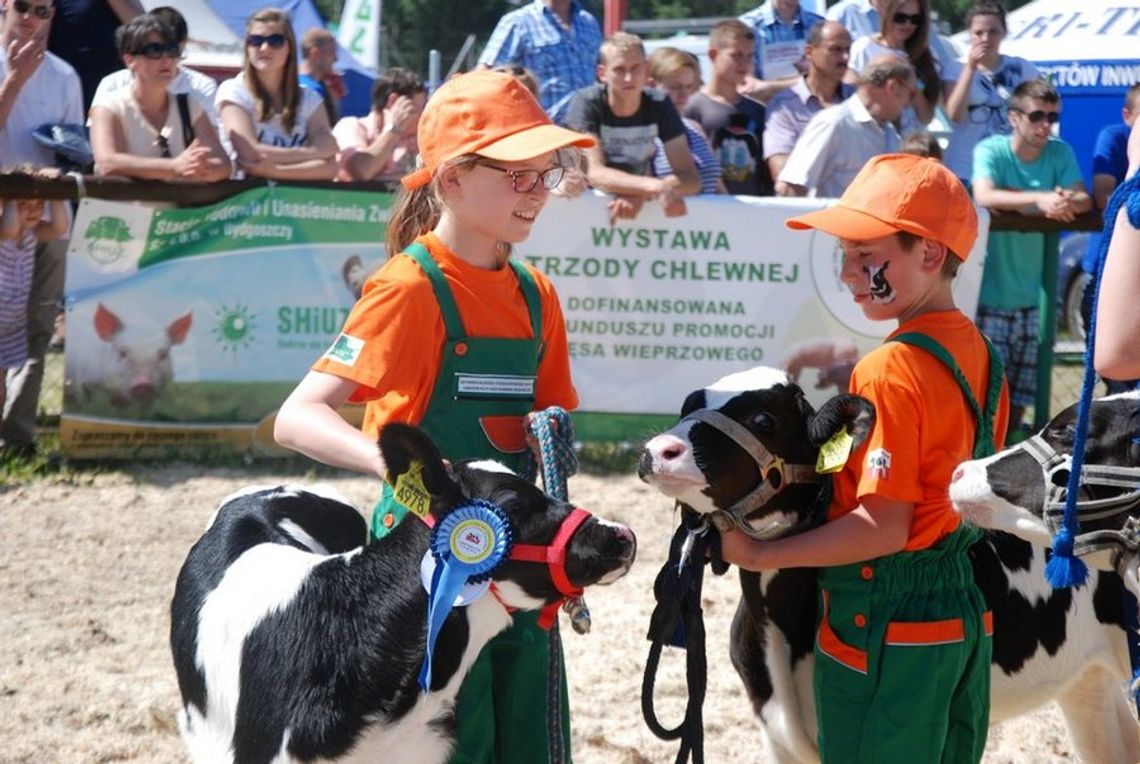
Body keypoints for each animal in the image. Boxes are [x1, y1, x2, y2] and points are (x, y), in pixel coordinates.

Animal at [642, 371, 1140, 764]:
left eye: (764, 420)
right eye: (688, 406)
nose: (659, 449)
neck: (780, 627)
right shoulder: (777, 734)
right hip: (1088, 683)